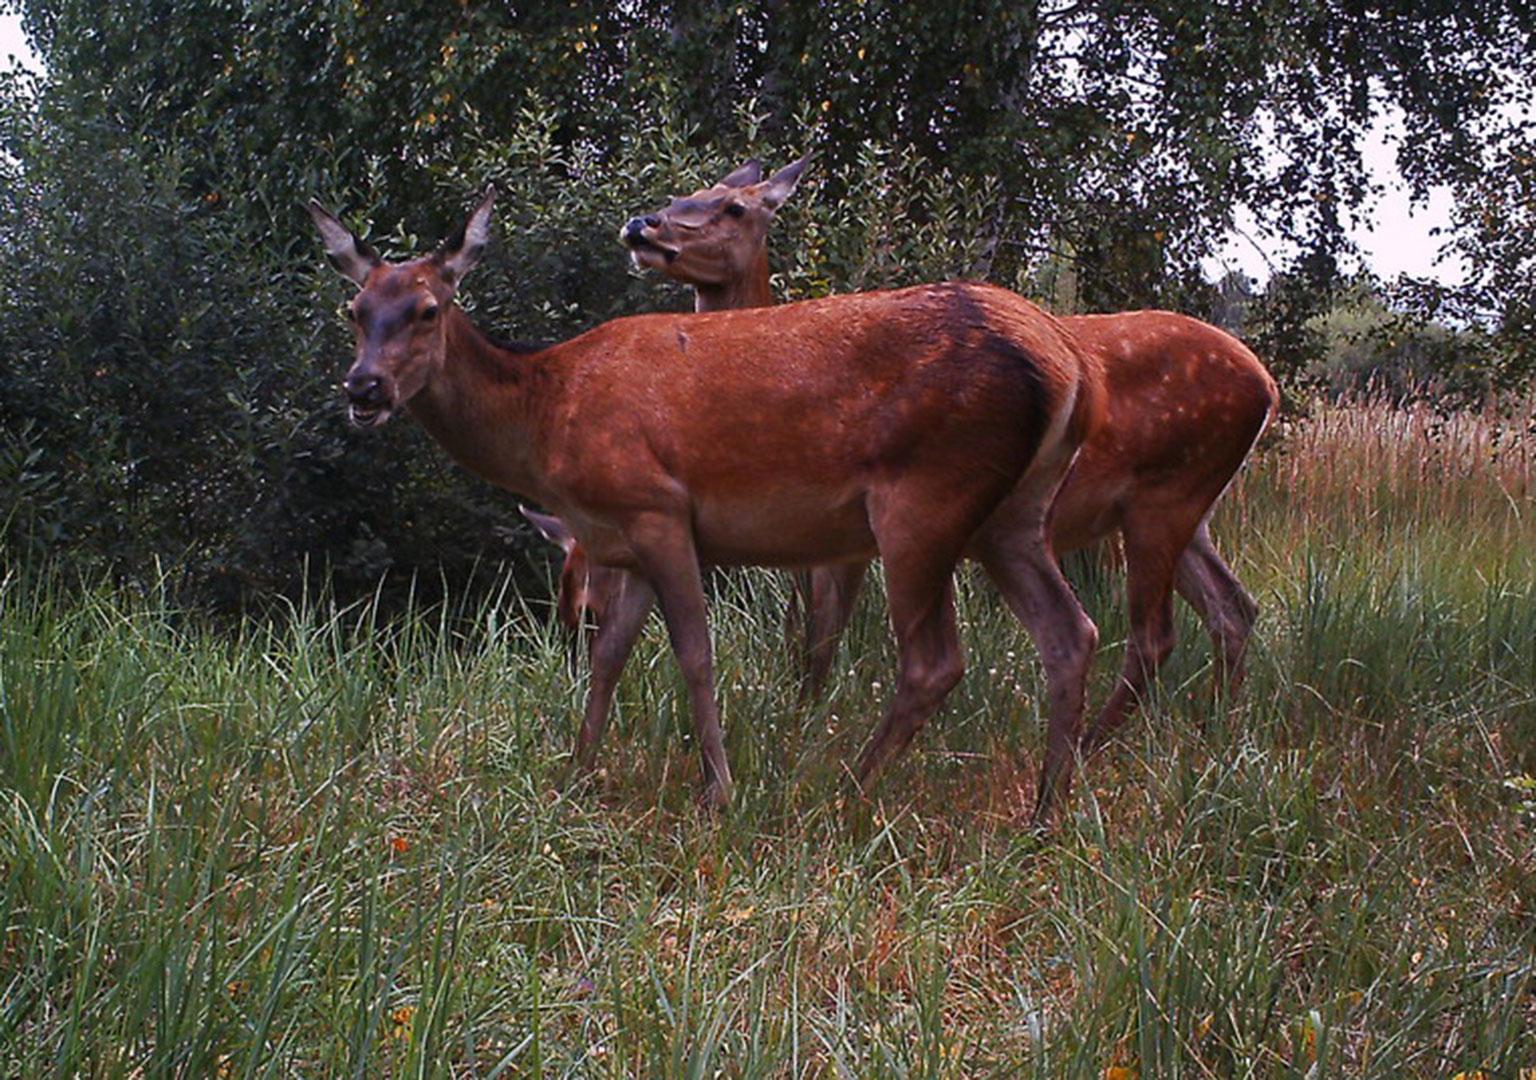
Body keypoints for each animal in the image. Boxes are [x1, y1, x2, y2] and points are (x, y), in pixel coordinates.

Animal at [308, 185, 1105, 817]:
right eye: (354, 309)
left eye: (426, 309)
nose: (364, 388)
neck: (547, 416)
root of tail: (1065, 361)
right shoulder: (620, 540)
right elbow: (609, 657)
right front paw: (577, 774)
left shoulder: (656, 506)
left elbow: (694, 652)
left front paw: (716, 790)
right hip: (1012, 513)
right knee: (1071, 632)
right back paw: (1046, 810)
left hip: (925, 498)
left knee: (934, 659)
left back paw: (843, 790)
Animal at [534, 158, 1277, 768]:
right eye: (694, 188)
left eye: (734, 207)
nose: (642, 224)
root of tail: (1267, 386)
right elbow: (805, 638)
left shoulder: (846, 543)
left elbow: (820, 641)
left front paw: (803, 730)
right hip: (1185, 512)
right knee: (1233, 609)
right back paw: (1219, 734)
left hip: (1156, 500)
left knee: (1154, 636)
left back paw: (1100, 749)